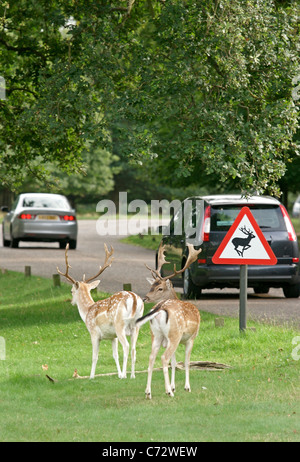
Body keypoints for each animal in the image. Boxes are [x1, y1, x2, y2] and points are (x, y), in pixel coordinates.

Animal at [58, 245, 145, 378]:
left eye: (71, 291)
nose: (71, 301)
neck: (88, 311)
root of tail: (134, 299)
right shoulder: (112, 336)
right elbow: (115, 355)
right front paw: (118, 374)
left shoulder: (94, 332)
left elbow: (94, 356)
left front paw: (91, 376)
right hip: (136, 327)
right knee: (134, 349)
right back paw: (132, 376)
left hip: (120, 325)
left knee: (126, 346)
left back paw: (125, 375)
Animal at [137, 244, 202, 398]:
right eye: (151, 286)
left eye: (159, 288)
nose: (145, 298)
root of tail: (160, 307)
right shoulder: (191, 338)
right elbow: (186, 361)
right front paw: (186, 387)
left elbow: (174, 362)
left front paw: (173, 386)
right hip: (174, 334)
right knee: (163, 358)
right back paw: (168, 392)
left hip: (156, 335)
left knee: (151, 357)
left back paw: (148, 392)